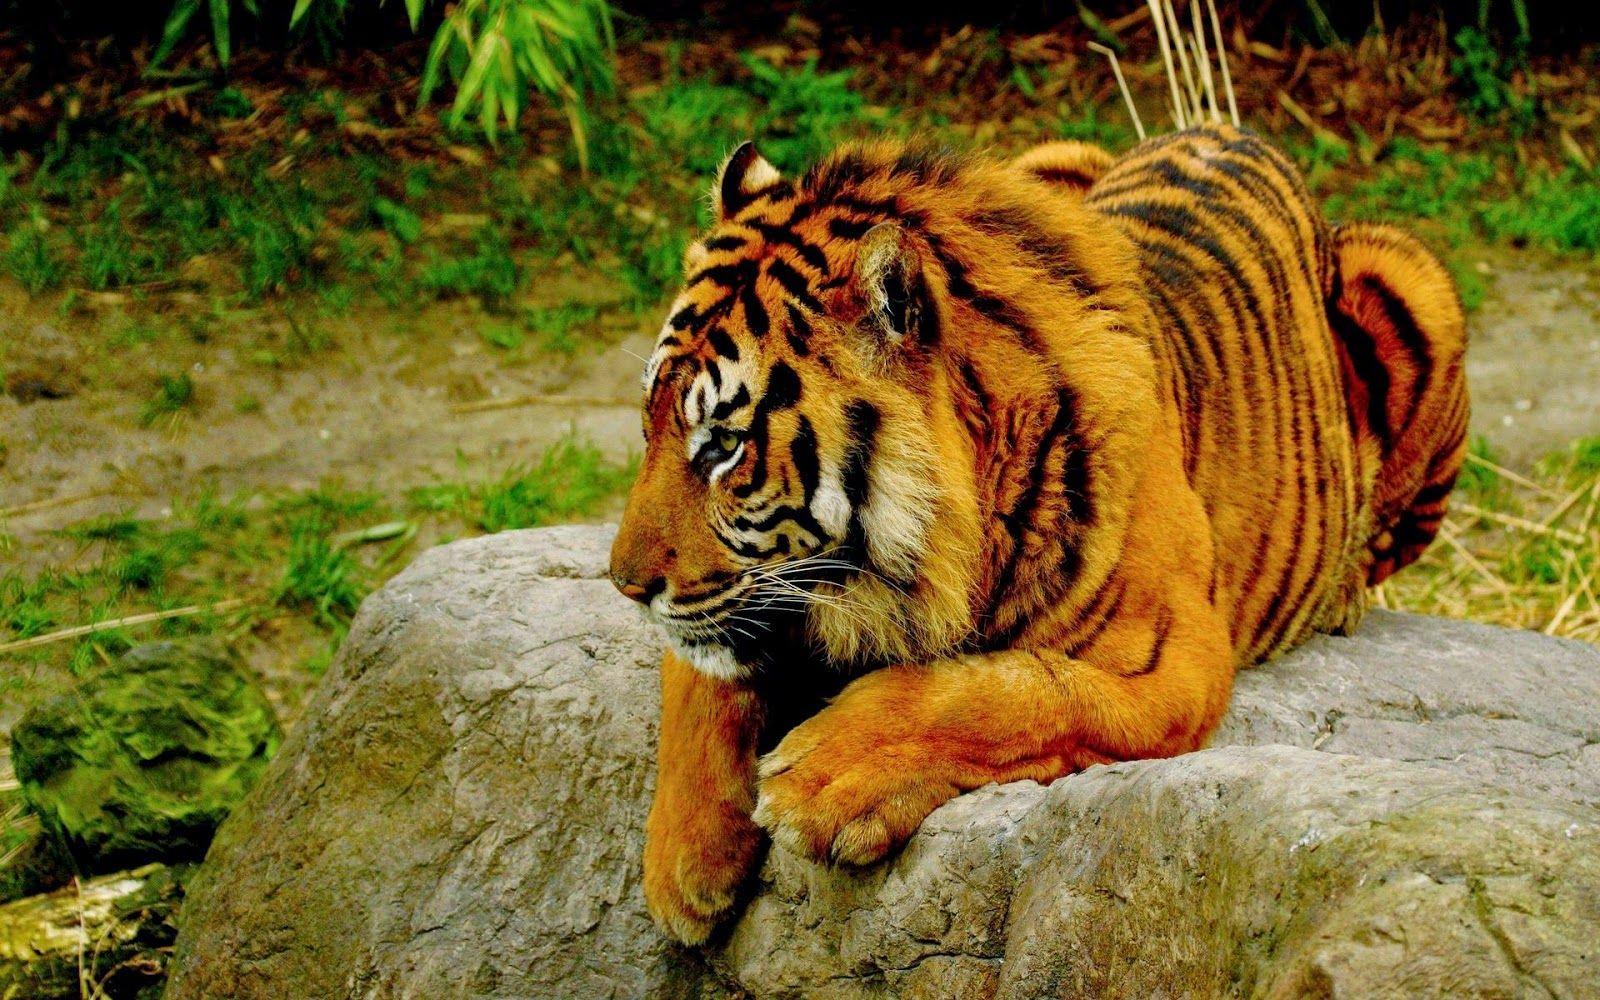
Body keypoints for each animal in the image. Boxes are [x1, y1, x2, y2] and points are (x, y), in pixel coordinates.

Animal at [608, 124, 1468, 944]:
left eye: (724, 445)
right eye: (650, 423)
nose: (623, 584)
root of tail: (1234, 131)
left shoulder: (1177, 659)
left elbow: (1013, 690)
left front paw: (825, 772)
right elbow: (699, 677)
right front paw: (682, 865)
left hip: (1416, 280)